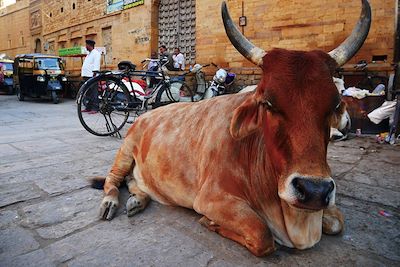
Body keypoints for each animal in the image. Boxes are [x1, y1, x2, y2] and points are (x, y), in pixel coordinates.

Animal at [92, 0, 370, 258]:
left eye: (334, 104)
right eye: (267, 103)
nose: (314, 191)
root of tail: (146, 114)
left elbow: (337, 223)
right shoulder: (210, 199)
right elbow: (262, 236)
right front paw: (211, 223)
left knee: (133, 181)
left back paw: (137, 200)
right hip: (125, 150)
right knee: (113, 180)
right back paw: (111, 203)